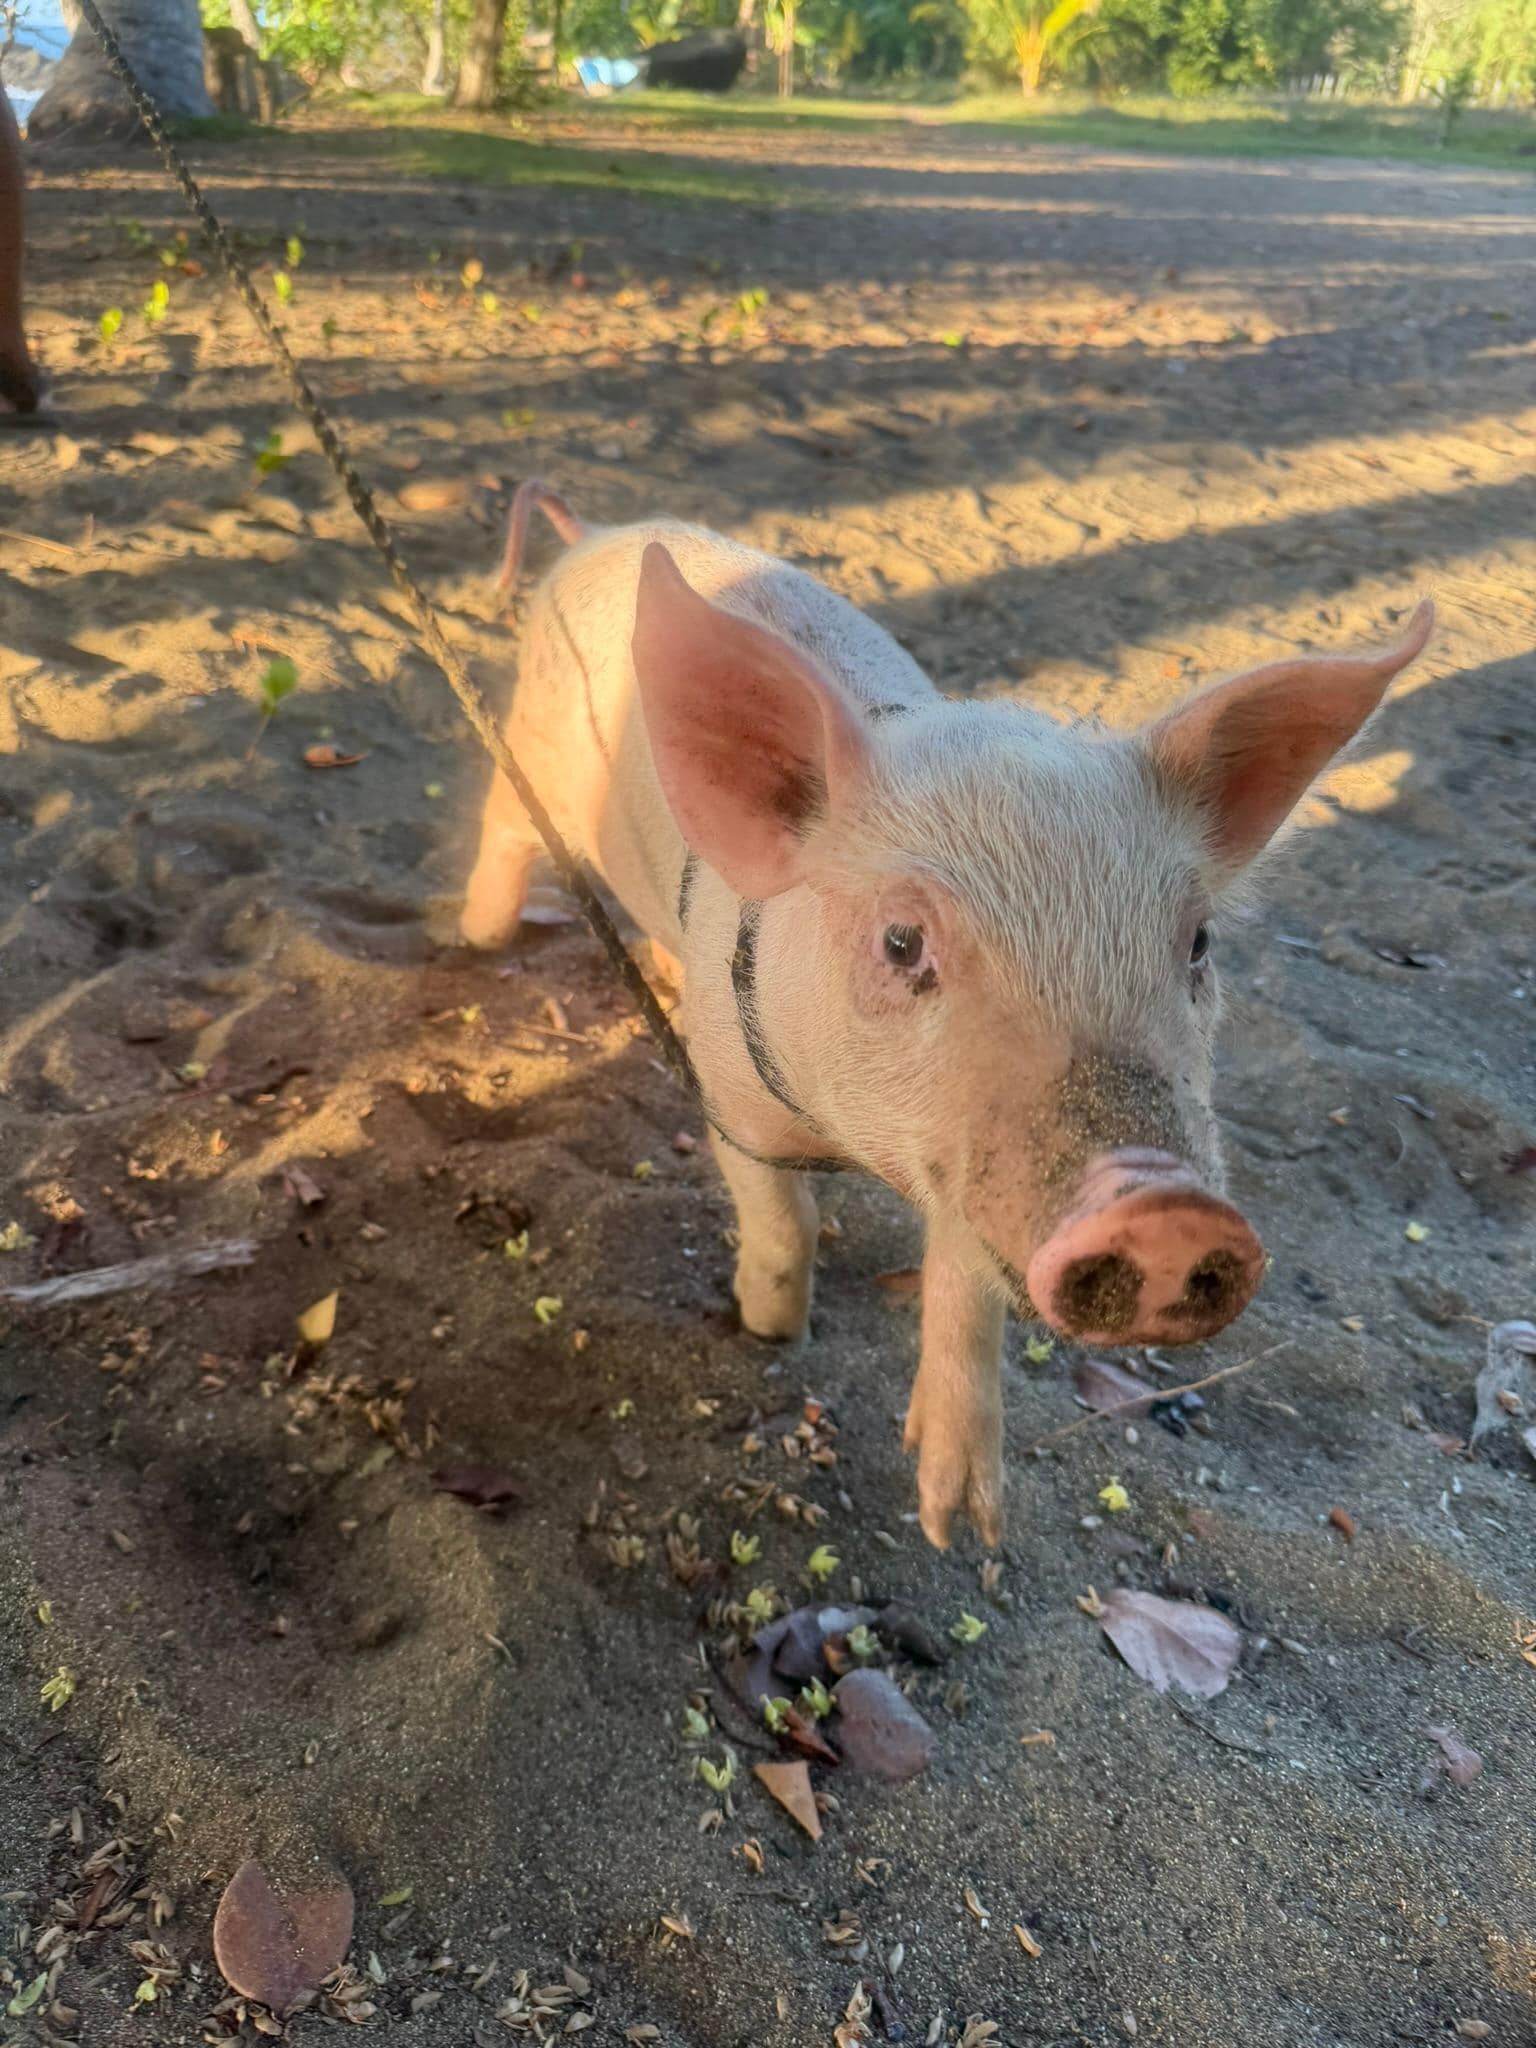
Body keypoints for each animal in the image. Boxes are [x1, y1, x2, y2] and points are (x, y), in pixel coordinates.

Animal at [464, 480, 1433, 1547]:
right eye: (900, 942)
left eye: (1198, 942)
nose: (1166, 1207)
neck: (847, 1146)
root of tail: (594, 534)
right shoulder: (733, 1100)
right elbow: (782, 1222)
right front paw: (772, 1330)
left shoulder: (968, 1169)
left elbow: (968, 1281)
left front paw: (960, 1529)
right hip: (529, 753)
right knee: (501, 833)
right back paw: (472, 940)